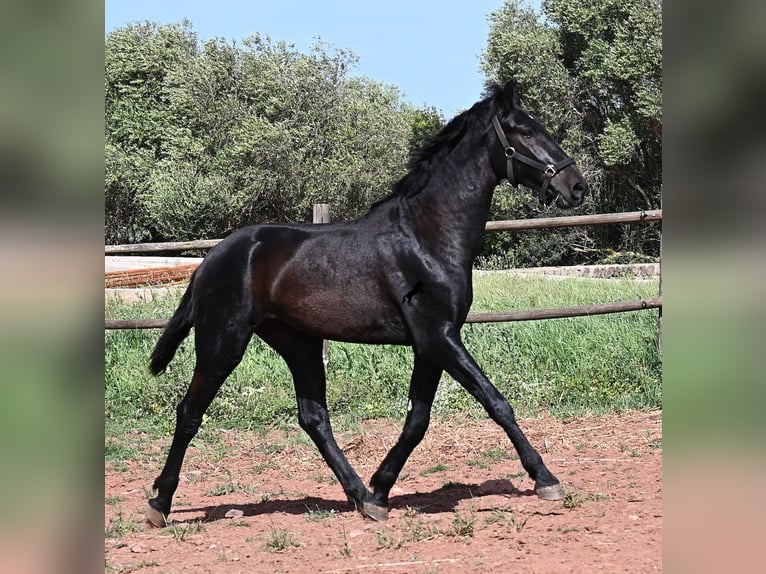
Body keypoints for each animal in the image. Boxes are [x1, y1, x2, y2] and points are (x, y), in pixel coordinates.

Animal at [145, 80, 588, 526]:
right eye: (525, 131)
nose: (576, 186)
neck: (426, 237)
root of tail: (210, 260)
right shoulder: (439, 337)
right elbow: (496, 402)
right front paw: (545, 478)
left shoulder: (430, 345)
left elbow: (417, 421)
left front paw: (381, 486)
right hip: (223, 343)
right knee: (189, 412)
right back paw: (159, 504)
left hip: (299, 344)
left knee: (314, 418)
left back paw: (362, 497)